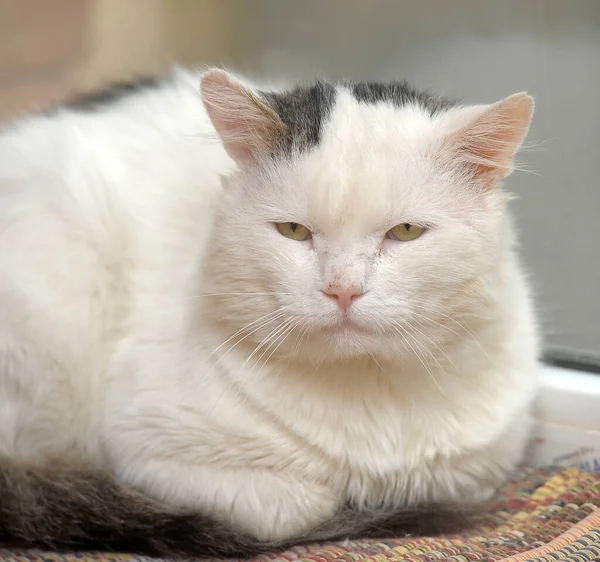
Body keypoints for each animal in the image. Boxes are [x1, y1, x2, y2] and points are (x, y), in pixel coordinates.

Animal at [0, 68, 536, 552]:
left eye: (405, 232)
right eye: (293, 231)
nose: (342, 289)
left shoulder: (477, 469)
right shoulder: (142, 447)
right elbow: (297, 505)